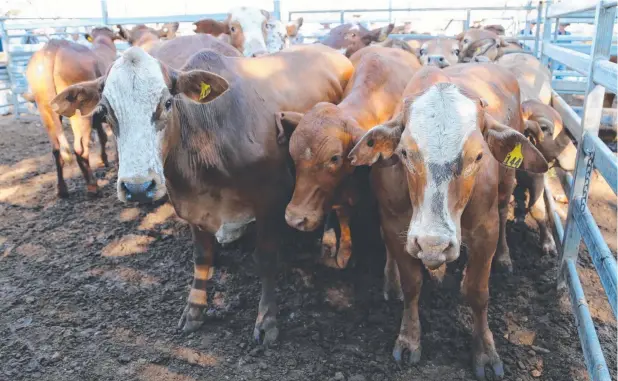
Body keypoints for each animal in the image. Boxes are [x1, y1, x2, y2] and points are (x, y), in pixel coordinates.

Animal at [25, 26, 120, 197]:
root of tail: (52, 48)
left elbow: (102, 136)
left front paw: (104, 159)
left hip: (45, 109)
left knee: (57, 149)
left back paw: (62, 189)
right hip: (79, 114)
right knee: (80, 149)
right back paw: (92, 186)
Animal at [344, 63, 548, 376]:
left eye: (478, 156)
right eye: (404, 152)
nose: (434, 244)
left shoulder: (485, 230)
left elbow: (477, 292)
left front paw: (485, 351)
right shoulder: (395, 225)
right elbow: (412, 284)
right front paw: (409, 339)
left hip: (507, 183)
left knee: (504, 212)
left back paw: (503, 257)